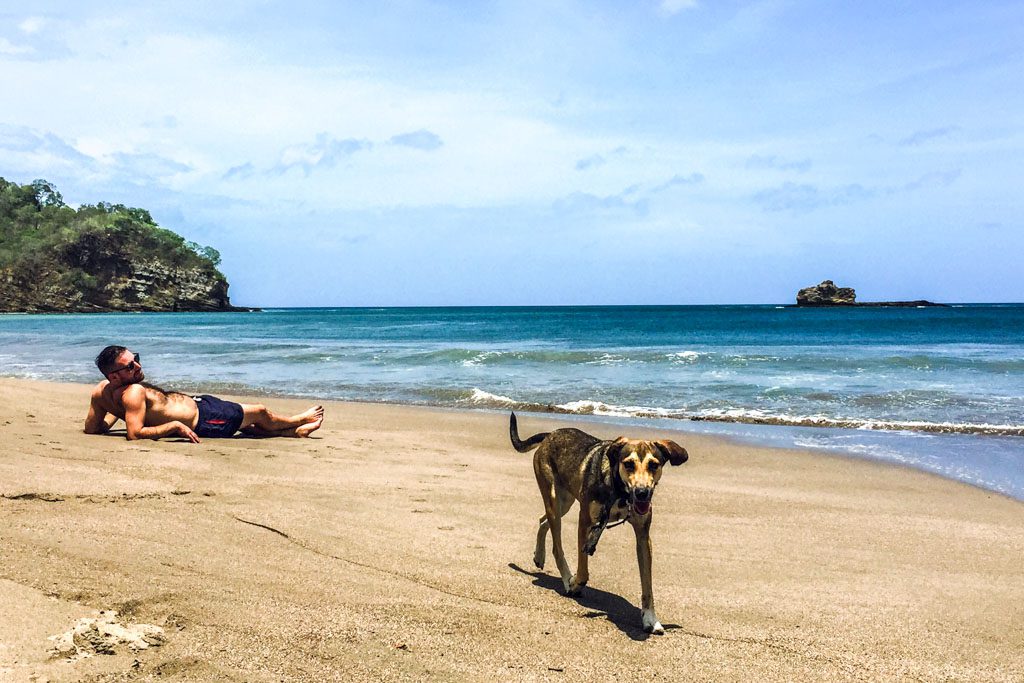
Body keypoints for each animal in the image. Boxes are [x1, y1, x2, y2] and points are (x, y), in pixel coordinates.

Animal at [509, 413, 688, 634]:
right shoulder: (585, 521)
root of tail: (551, 434)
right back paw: (566, 578)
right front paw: (575, 583)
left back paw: (539, 556)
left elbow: (647, 584)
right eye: (628, 464)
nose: (642, 493)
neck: (619, 491)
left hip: (564, 501)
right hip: (553, 497)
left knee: (543, 521)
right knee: (557, 544)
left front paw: (650, 618)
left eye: (654, 465)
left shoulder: (643, 536)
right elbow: (583, 568)